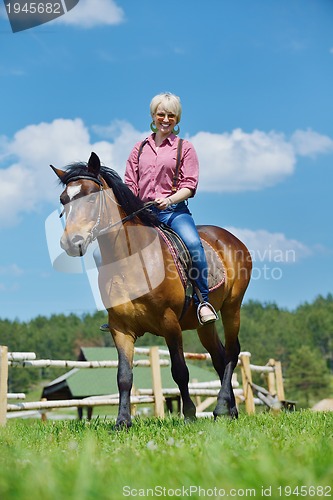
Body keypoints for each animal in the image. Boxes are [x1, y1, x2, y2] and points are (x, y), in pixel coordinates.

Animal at [50, 151, 250, 426]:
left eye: (91, 197)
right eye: (63, 200)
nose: (71, 242)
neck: (131, 260)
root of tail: (231, 239)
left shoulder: (170, 323)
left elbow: (180, 371)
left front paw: (189, 414)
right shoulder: (120, 329)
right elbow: (124, 376)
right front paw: (122, 422)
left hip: (232, 308)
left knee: (232, 352)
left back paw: (220, 407)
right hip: (204, 325)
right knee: (219, 356)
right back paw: (230, 411)